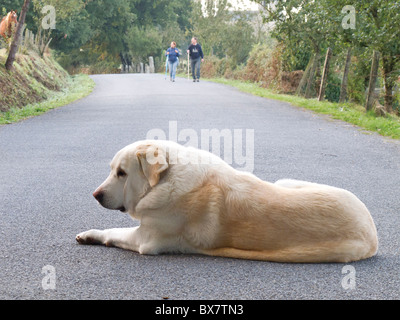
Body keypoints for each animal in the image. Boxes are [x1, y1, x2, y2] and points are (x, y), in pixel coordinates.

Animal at [76, 140, 378, 262]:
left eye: (121, 173)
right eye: (112, 169)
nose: (95, 194)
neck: (165, 179)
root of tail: (373, 235)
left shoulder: (145, 239)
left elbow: (113, 232)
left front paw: (90, 235)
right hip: (285, 181)